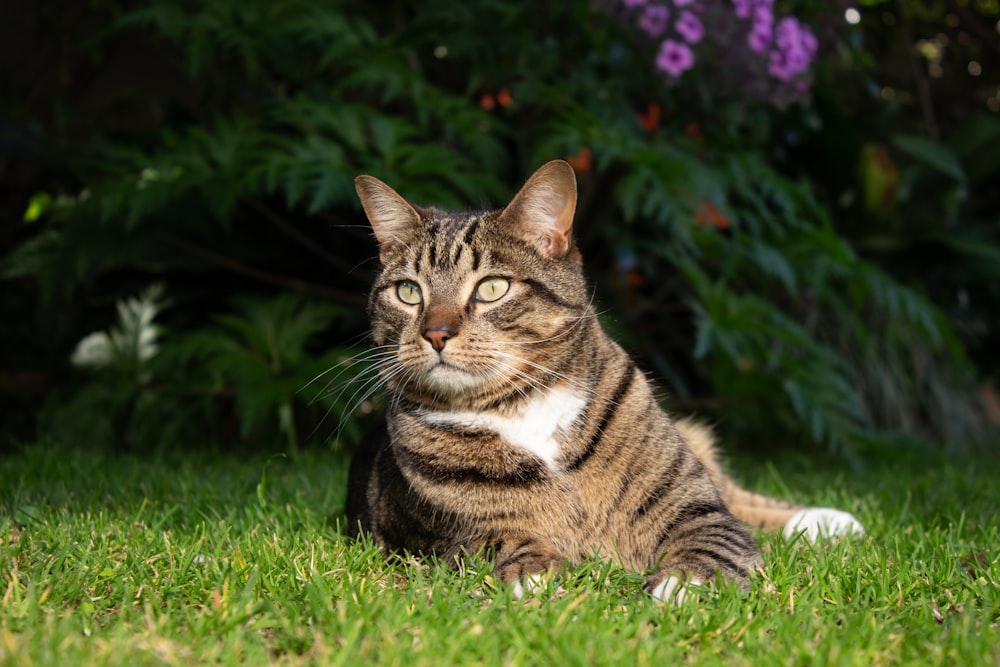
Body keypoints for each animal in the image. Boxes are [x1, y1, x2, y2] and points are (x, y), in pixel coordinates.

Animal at [344, 159, 860, 604]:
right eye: (408, 292)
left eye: (492, 287)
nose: (435, 332)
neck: (519, 406)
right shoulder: (442, 535)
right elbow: (500, 537)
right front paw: (533, 573)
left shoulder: (692, 503)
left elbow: (715, 534)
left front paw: (682, 585)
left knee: (732, 495)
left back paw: (829, 520)